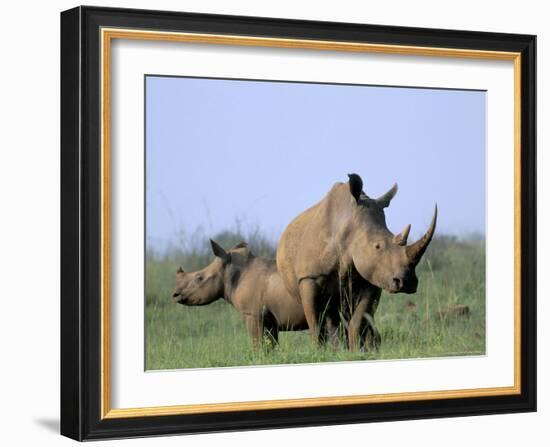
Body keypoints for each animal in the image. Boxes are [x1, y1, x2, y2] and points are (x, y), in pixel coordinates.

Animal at [174, 240, 310, 348]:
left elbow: (258, 346)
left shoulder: (253, 314)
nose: (175, 295)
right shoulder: (269, 320)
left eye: (199, 278)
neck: (230, 273)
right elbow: (271, 346)